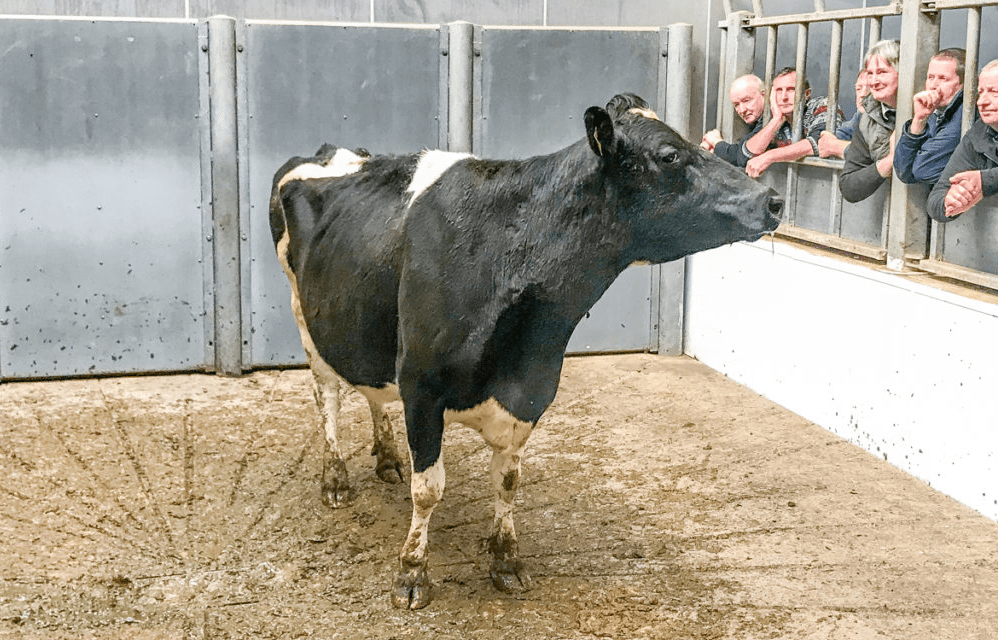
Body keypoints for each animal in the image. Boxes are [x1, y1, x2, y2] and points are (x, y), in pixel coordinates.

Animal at [269, 93, 783, 610]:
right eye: (669, 155)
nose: (773, 200)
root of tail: (331, 151)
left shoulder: (531, 391)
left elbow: (508, 482)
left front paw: (506, 560)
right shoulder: (421, 387)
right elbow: (429, 489)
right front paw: (413, 572)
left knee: (371, 389)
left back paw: (388, 457)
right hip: (304, 315)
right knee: (327, 396)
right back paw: (335, 479)